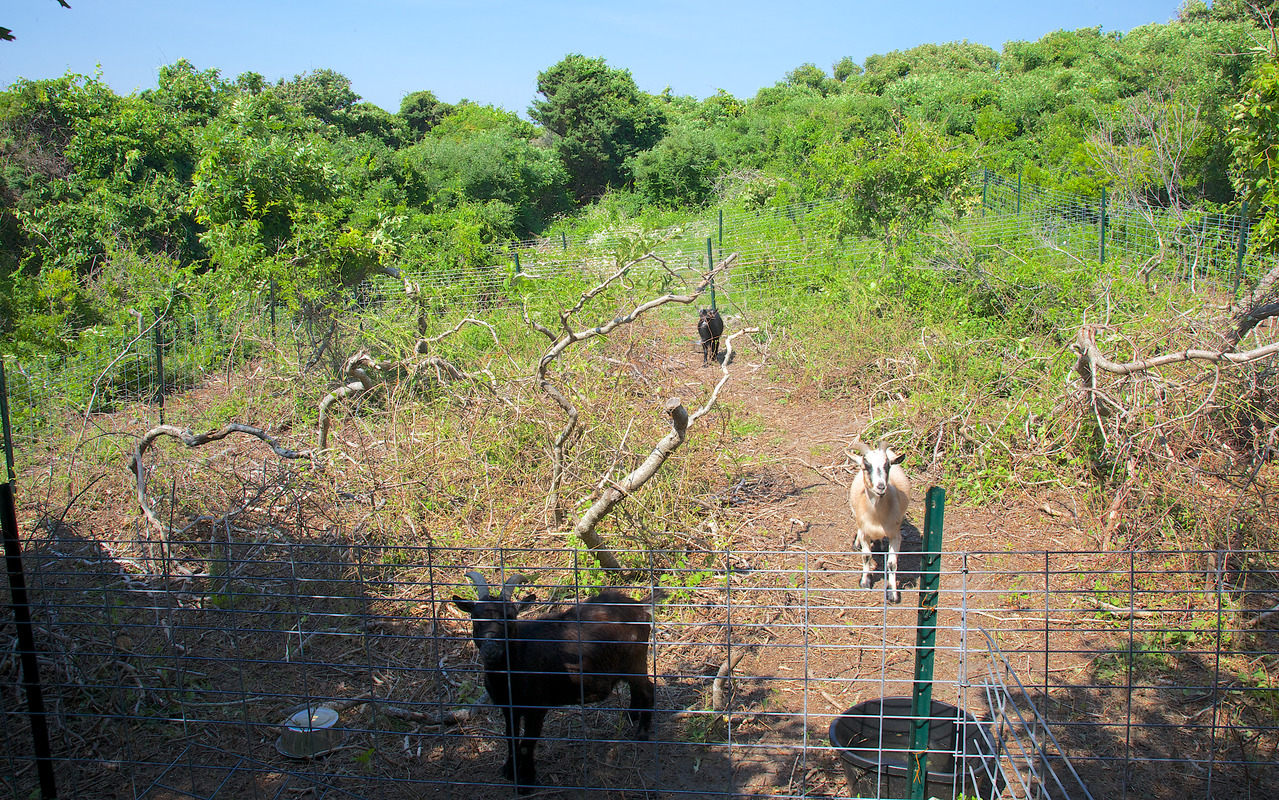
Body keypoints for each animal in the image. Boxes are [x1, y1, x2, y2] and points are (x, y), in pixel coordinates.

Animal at [452, 571, 654, 794]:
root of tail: (641, 608)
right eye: (475, 617)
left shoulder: (537, 706)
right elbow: (510, 736)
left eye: (511, 617)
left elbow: (527, 742)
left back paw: (642, 733)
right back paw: (631, 715)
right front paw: (509, 770)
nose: (491, 649)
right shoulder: (508, 707)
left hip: (635, 661)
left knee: (648, 689)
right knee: (636, 689)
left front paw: (525, 781)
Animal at [849, 441, 911, 604]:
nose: (881, 487)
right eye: (866, 466)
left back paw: (880, 544)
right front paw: (865, 582)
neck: (876, 517)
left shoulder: (895, 535)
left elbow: (892, 564)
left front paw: (893, 594)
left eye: (887, 466)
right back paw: (856, 544)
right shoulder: (865, 532)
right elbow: (866, 556)